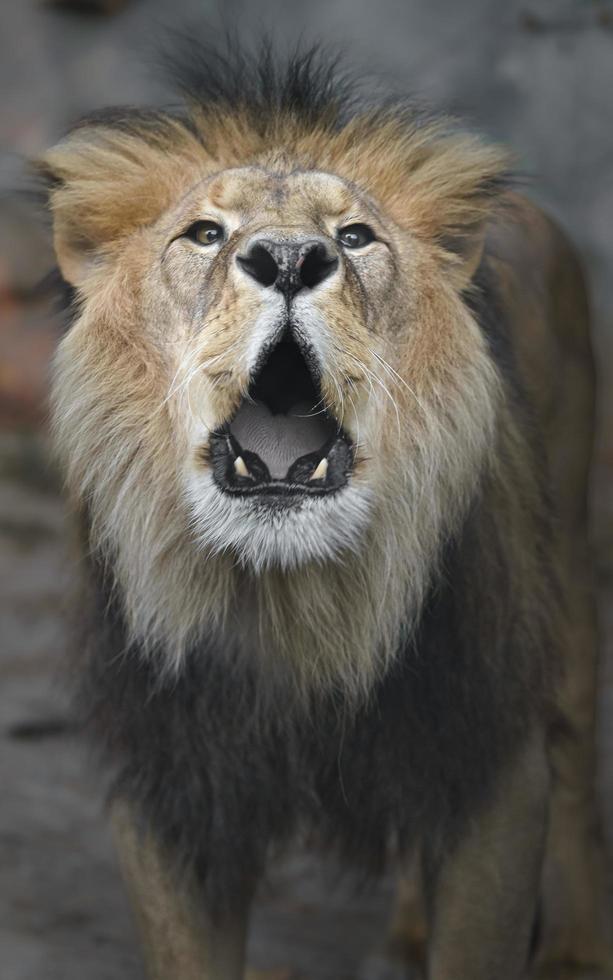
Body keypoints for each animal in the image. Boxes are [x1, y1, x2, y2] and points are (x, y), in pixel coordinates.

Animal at [40, 42, 608, 980]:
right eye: (205, 233)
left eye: (353, 237)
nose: (286, 260)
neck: (292, 604)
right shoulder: (171, 782)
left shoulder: (489, 755)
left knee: (578, 763)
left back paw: (575, 952)